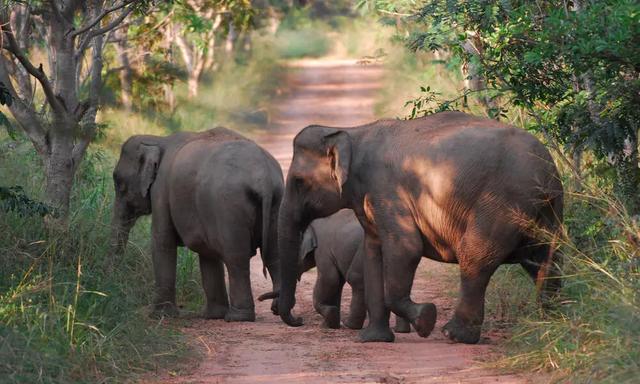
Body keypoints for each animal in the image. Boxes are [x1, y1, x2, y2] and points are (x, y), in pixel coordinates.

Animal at [110, 127, 282, 320]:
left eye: (119, 184)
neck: (158, 140)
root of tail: (264, 178)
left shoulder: (161, 190)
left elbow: (162, 241)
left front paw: (160, 315)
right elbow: (207, 253)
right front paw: (212, 315)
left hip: (229, 206)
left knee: (236, 258)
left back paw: (238, 317)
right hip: (278, 201)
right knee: (274, 254)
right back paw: (278, 310)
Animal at [278, 112, 564, 344]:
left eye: (298, 181)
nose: (298, 320)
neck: (351, 132)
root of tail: (546, 168)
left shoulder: (387, 192)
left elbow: (406, 249)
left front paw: (426, 318)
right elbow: (373, 254)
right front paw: (374, 339)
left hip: (501, 204)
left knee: (475, 256)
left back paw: (455, 335)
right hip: (547, 210)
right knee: (546, 260)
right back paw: (548, 324)